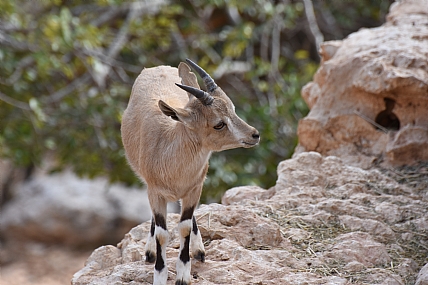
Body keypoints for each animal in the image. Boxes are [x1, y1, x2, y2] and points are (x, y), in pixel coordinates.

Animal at [121, 58, 260, 282]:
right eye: (219, 124)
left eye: (232, 109)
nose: (254, 135)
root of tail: (157, 68)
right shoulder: (155, 192)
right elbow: (162, 232)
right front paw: (160, 275)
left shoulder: (194, 189)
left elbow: (184, 226)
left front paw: (183, 276)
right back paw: (151, 252)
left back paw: (199, 250)